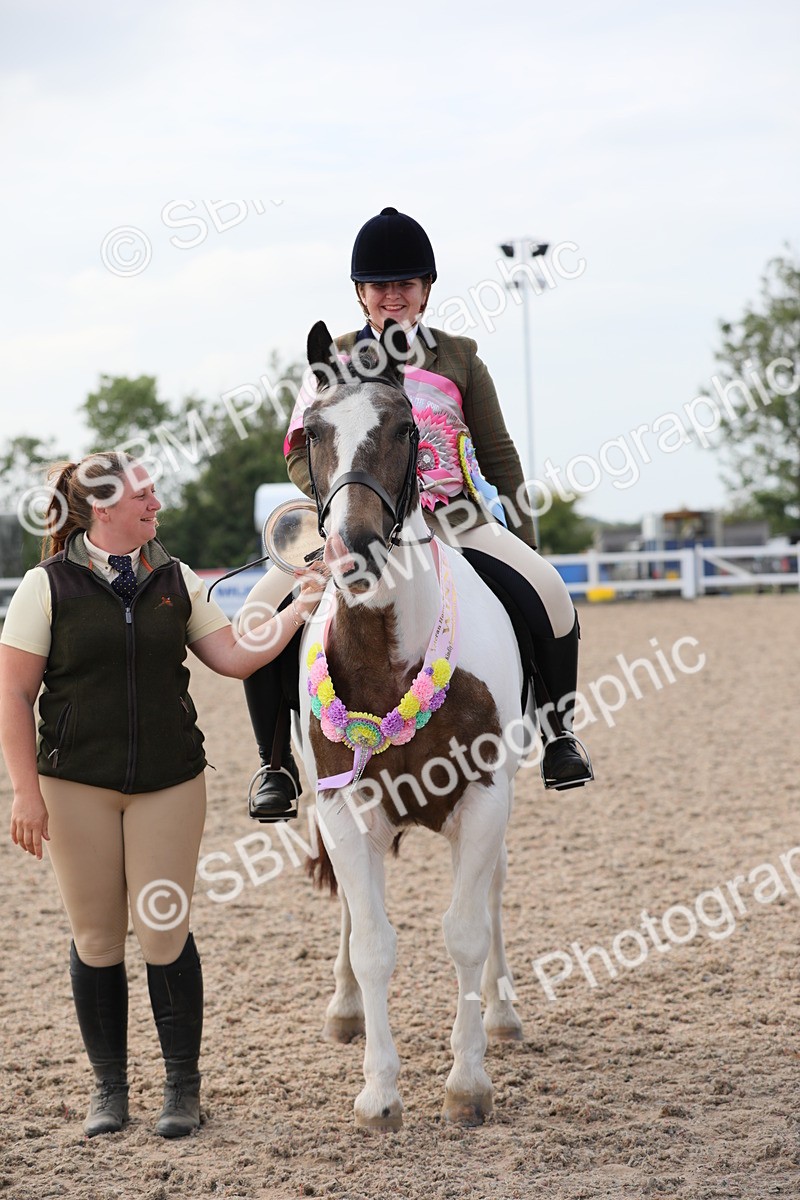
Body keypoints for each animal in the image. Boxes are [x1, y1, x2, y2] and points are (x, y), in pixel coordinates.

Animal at [294, 320, 526, 1129]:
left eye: (403, 429)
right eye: (313, 431)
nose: (355, 551)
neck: (387, 656)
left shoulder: (484, 796)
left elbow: (464, 931)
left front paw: (467, 1086)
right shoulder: (340, 805)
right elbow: (372, 943)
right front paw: (379, 1094)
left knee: (490, 895)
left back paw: (503, 1014)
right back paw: (342, 1011)